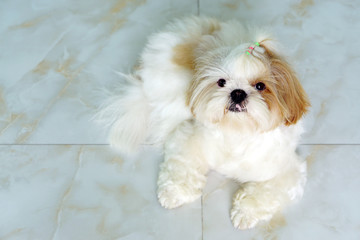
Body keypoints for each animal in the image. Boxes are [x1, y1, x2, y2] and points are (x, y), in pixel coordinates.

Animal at [97, 15, 310, 230]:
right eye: (221, 82)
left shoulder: (286, 169)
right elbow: (182, 166)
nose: (238, 93)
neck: (236, 133)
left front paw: (245, 212)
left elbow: (267, 192)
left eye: (260, 86)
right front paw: (174, 193)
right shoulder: (187, 136)